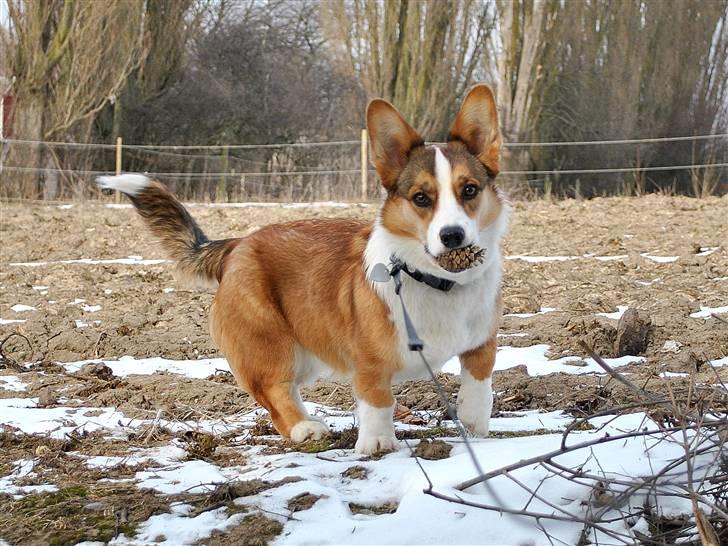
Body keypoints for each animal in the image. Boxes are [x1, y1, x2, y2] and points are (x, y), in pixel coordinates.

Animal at [96, 83, 510, 452]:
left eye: (469, 190)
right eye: (421, 198)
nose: (453, 236)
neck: (435, 281)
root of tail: (238, 244)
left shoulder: (481, 347)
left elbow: (478, 388)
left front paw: (474, 427)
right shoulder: (370, 363)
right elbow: (378, 400)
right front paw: (377, 443)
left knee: (286, 391)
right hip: (272, 345)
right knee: (274, 392)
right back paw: (304, 429)